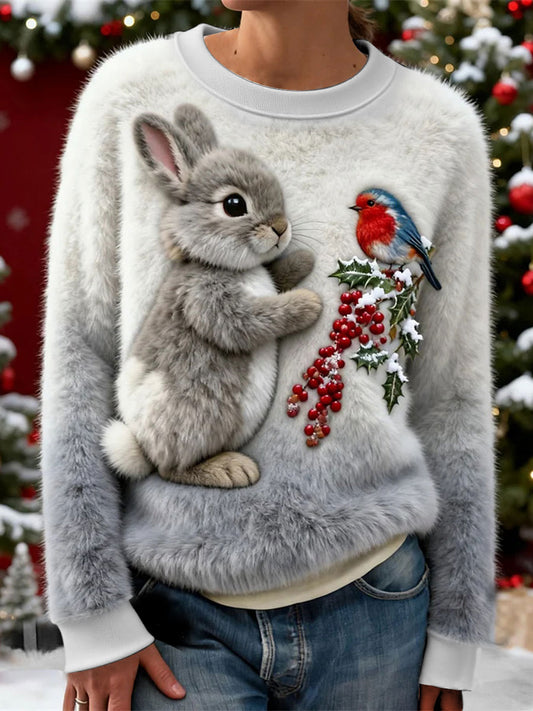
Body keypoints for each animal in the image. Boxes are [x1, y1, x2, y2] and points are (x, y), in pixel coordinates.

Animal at [100, 102, 323, 489]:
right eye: (234, 204)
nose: (281, 228)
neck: (226, 267)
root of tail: (143, 449)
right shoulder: (204, 300)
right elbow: (251, 321)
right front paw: (308, 304)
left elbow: (276, 276)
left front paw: (303, 260)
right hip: (195, 418)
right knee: (171, 470)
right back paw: (232, 469)